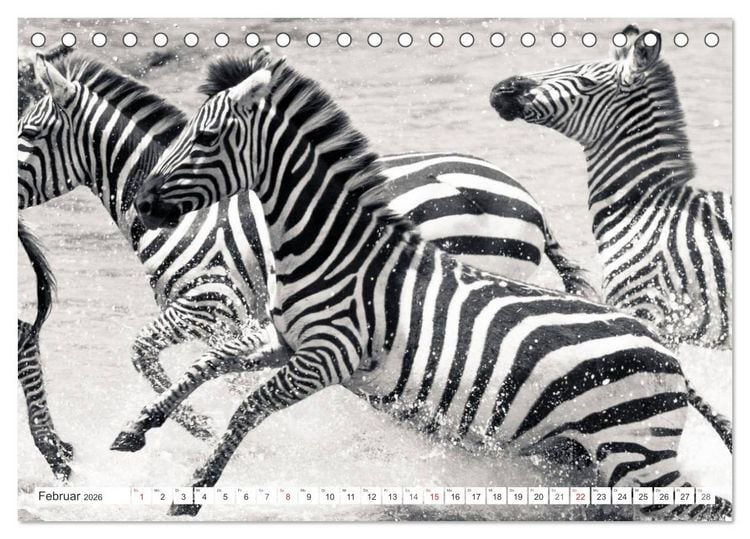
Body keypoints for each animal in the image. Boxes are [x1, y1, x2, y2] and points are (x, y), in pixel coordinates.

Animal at [18, 53, 594, 439]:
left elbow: (142, 353)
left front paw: (196, 426)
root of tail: (528, 201)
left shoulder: (211, 303)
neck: (192, 220)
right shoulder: (239, 321)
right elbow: (212, 371)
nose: (146, 207)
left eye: (27, 134)